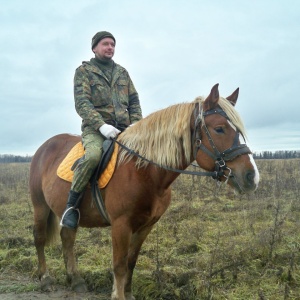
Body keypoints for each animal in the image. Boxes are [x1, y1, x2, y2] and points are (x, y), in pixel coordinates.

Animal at [29, 83, 258, 298]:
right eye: (219, 128)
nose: (251, 177)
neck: (143, 171)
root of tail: (43, 147)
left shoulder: (146, 225)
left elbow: (131, 261)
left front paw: (128, 293)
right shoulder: (121, 225)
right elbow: (119, 265)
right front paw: (119, 295)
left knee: (67, 237)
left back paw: (75, 279)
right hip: (40, 206)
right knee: (39, 238)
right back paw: (45, 278)